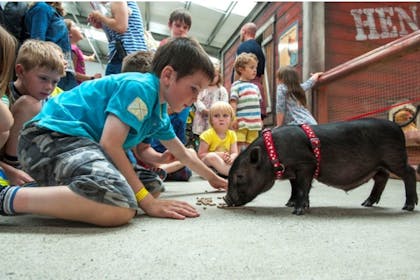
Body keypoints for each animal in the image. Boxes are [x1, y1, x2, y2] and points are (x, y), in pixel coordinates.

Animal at [223, 118, 416, 214]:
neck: (274, 154)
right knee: (382, 178)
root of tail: (397, 127)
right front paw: (290, 204)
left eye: (239, 176)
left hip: (394, 157)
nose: (226, 199)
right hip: (379, 165)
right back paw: (367, 203)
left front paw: (297, 211)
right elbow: (296, 188)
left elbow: (302, 187)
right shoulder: (294, 171)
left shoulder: (306, 164)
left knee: (410, 172)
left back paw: (408, 207)